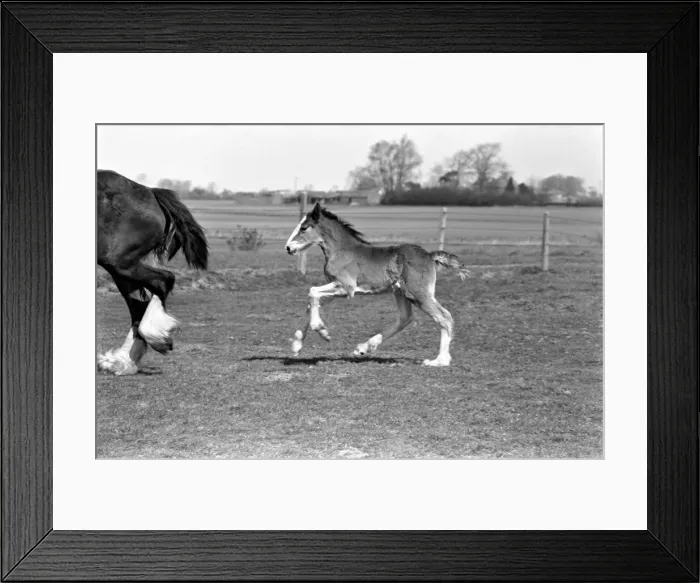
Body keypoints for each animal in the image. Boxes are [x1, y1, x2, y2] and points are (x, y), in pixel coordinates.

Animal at [97, 170, 209, 376]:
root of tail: (150, 192)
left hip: (119, 262)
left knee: (163, 281)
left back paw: (157, 338)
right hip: (122, 267)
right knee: (139, 306)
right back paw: (121, 361)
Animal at [284, 202, 470, 366]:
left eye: (304, 227)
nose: (288, 248)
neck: (341, 251)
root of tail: (429, 255)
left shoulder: (346, 288)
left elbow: (312, 292)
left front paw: (322, 331)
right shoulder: (335, 288)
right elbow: (311, 303)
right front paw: (297, 345)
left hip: (417, 293)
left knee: (444, 317)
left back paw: (439, 361)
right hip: (401, 292)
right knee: (405, 318)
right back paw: (363, 348)